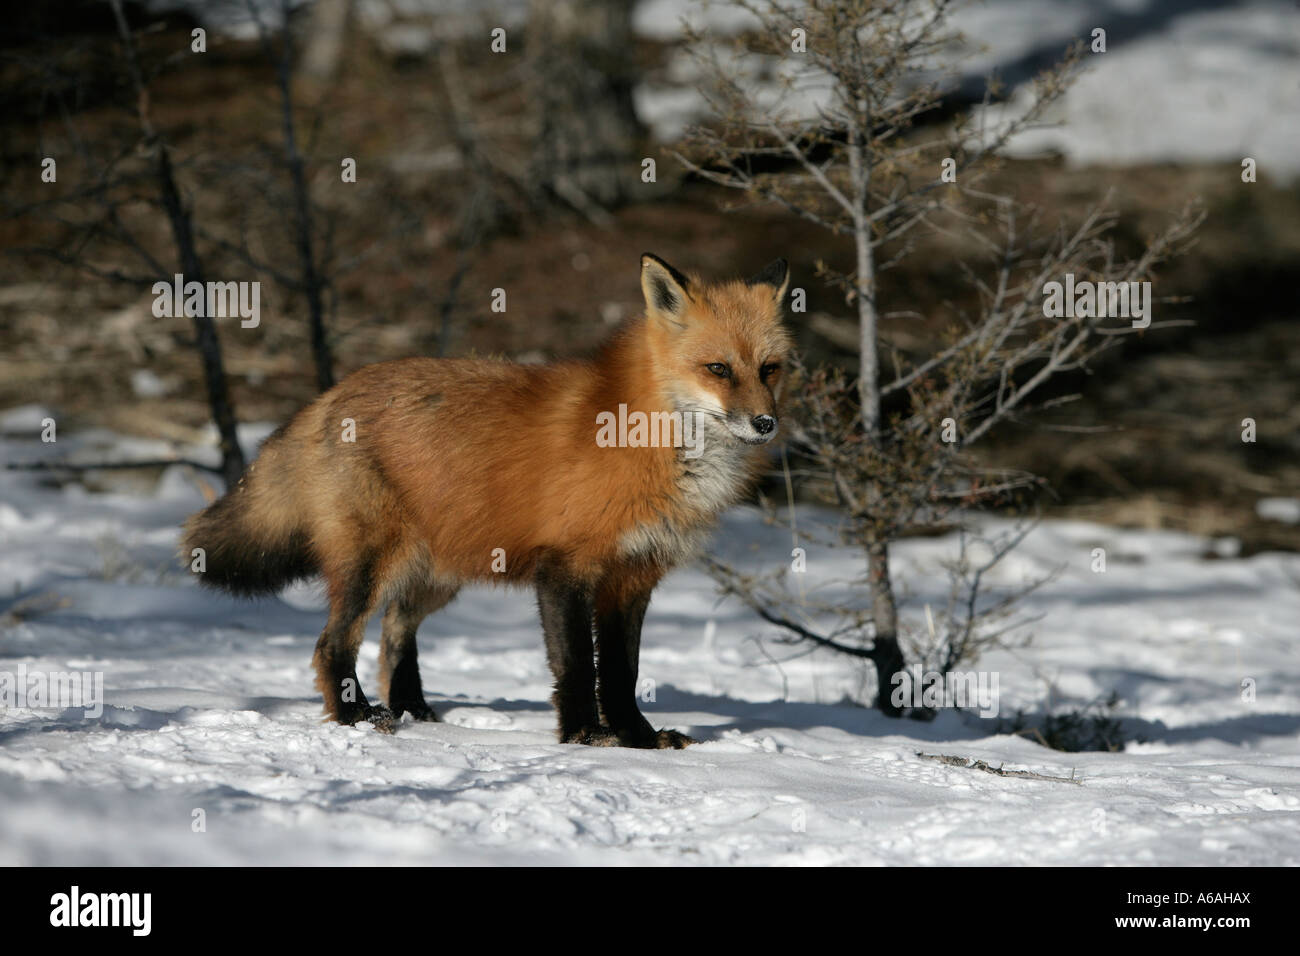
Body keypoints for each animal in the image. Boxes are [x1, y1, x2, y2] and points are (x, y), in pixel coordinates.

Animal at [182, 253, 791, 748]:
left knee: (395, 634)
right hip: (373, 564)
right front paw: (584, 736)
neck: (647, 439)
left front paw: (637, 738)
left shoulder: (634, 575)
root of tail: (329, 394)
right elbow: (577, 665)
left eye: (769, 369)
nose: (765, 423)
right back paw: (357, 717)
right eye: (718, 369)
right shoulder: (565, 567)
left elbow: (623, 672)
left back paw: (414, 709)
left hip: (435, 573)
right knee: (333, 644)